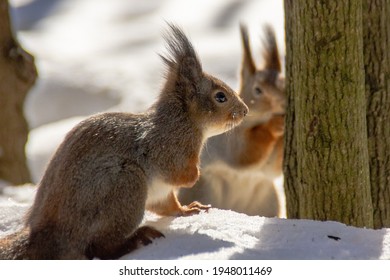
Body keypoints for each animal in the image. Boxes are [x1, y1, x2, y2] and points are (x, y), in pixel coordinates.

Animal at [0, 24, 248, 260]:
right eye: (220, 96)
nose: (245, 111)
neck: (182, 120)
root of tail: (50, 236)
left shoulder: (162, 192)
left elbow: (168, 206)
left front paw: (188, 209)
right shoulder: (169, 148)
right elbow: (177, 174)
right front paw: (196, 175)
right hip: (126, 186)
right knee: (101, 248)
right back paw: (137, 239)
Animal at [178, 24, 284, 217]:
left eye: (286, 83)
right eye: (258, 90)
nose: (283, 104)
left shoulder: (268, 170)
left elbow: (275, 168)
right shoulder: (230, 138)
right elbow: (244, 153)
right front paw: (276, 124)